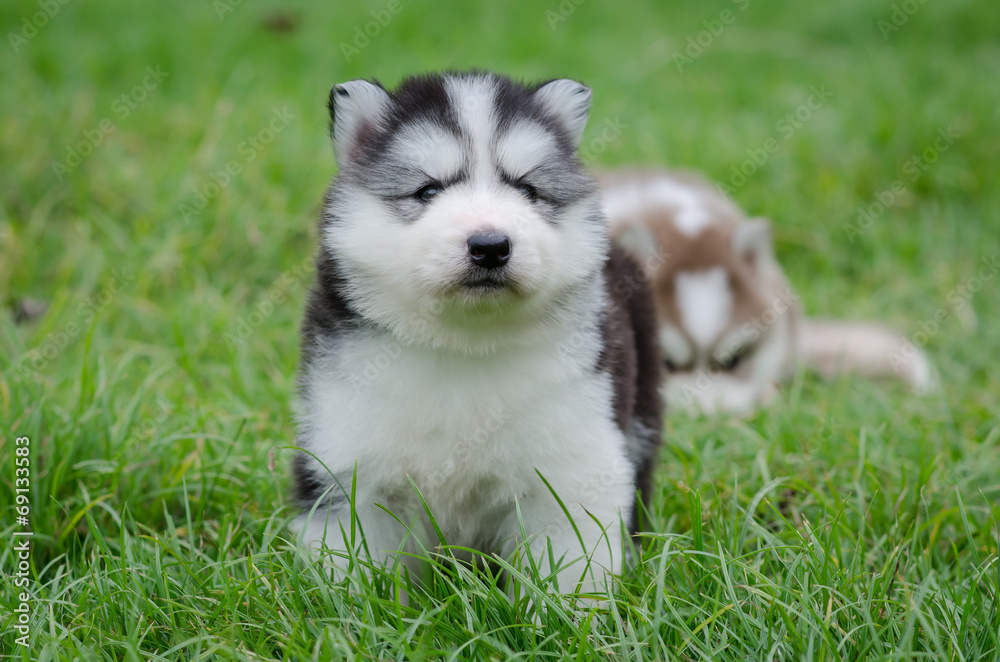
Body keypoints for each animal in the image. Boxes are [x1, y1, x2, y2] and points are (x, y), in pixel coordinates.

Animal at [290, 72, 664, 596]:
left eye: (528, 190)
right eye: (428, 191)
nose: (490, 245)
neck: (465, 341)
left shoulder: (572, 470)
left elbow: (569, 569)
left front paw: (568, 614)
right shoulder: (349, 467)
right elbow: (355, 567)